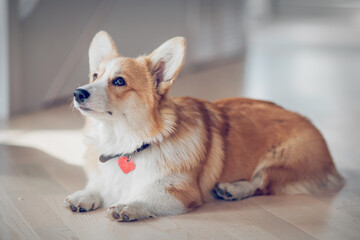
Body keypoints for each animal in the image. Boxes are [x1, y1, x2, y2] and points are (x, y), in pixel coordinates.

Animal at [64, 31, 344, 221]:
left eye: (119, 81)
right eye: (95, 76)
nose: (78, 92)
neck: (128, 142)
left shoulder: (181, 193)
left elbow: (147, 198)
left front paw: (128, 206)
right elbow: (99, 186)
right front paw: (84, 195)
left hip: (282, 160)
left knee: (262, 184)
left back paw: (233, 189)